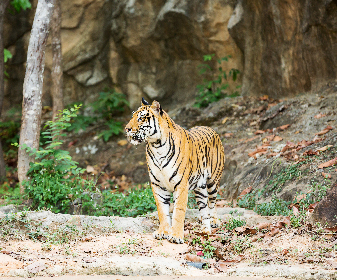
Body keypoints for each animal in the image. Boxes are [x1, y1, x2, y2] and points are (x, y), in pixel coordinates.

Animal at [124, 98, 224, 243]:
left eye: (141, 118)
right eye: (132, 117)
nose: (127, 129)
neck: (157, 146)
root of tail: (209, 128)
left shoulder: (181, 185)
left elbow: (179, 211)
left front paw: (176, 235)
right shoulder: (158, 185)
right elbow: (162, 211)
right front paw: (163, 232)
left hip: (213, 182)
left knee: (212, 203)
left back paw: (214, 222)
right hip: (200, 188)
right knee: (204, 207)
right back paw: (205, 230)